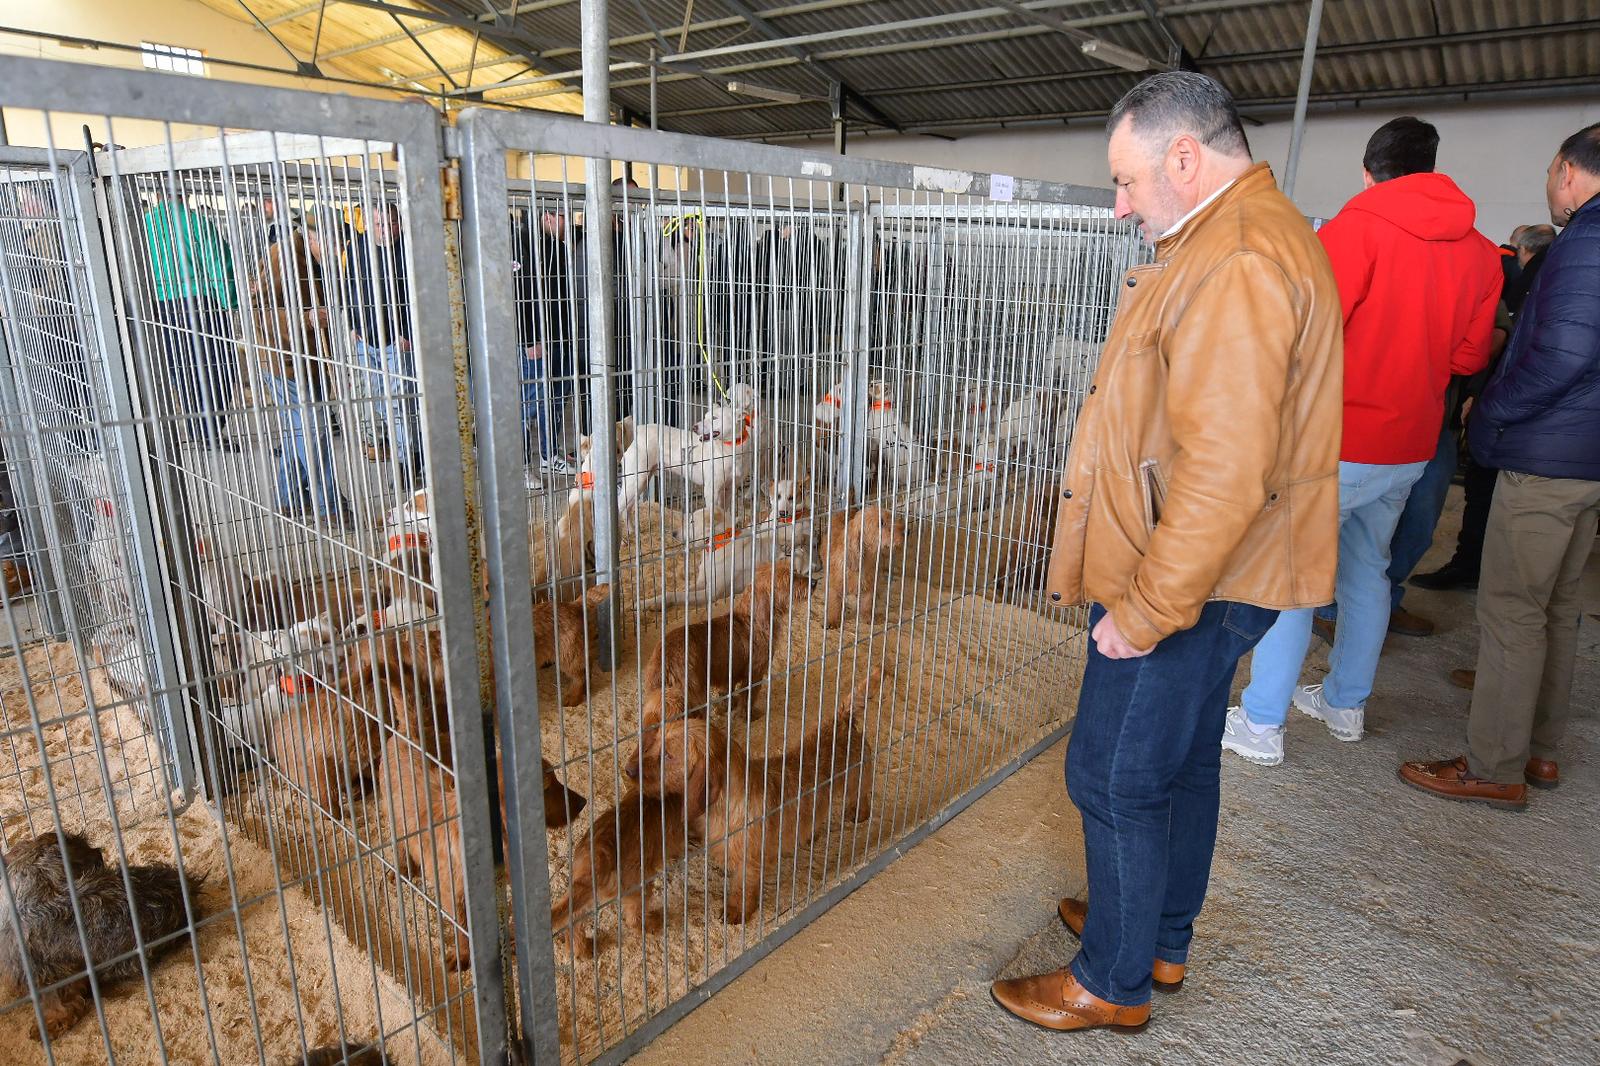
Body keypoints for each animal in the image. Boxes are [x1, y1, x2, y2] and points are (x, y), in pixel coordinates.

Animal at [547, 787, 691, 953]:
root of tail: (601, 856)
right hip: (638, 886)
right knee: (634, 918)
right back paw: (651, 925)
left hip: (583, 893)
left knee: (574, 919)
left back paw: (581, 950)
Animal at [627, 672, 876, 921]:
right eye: (656, 742)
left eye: (668, 755)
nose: (628, 770)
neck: (727, 806)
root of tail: (841, 721)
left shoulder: (750, 861)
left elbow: (743, 887)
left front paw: (737, 911)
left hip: (856, 778)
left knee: (862, 794)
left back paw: (859, 814)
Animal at [640, 560, 806, 726]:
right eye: (790, 579)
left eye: (796, 571)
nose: (812, 582)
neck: (750, 620)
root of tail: (665, 663)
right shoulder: (755, 672)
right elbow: (747, 699)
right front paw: (747, 717)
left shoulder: (729, 674)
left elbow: (728, 693)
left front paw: (728, 707)